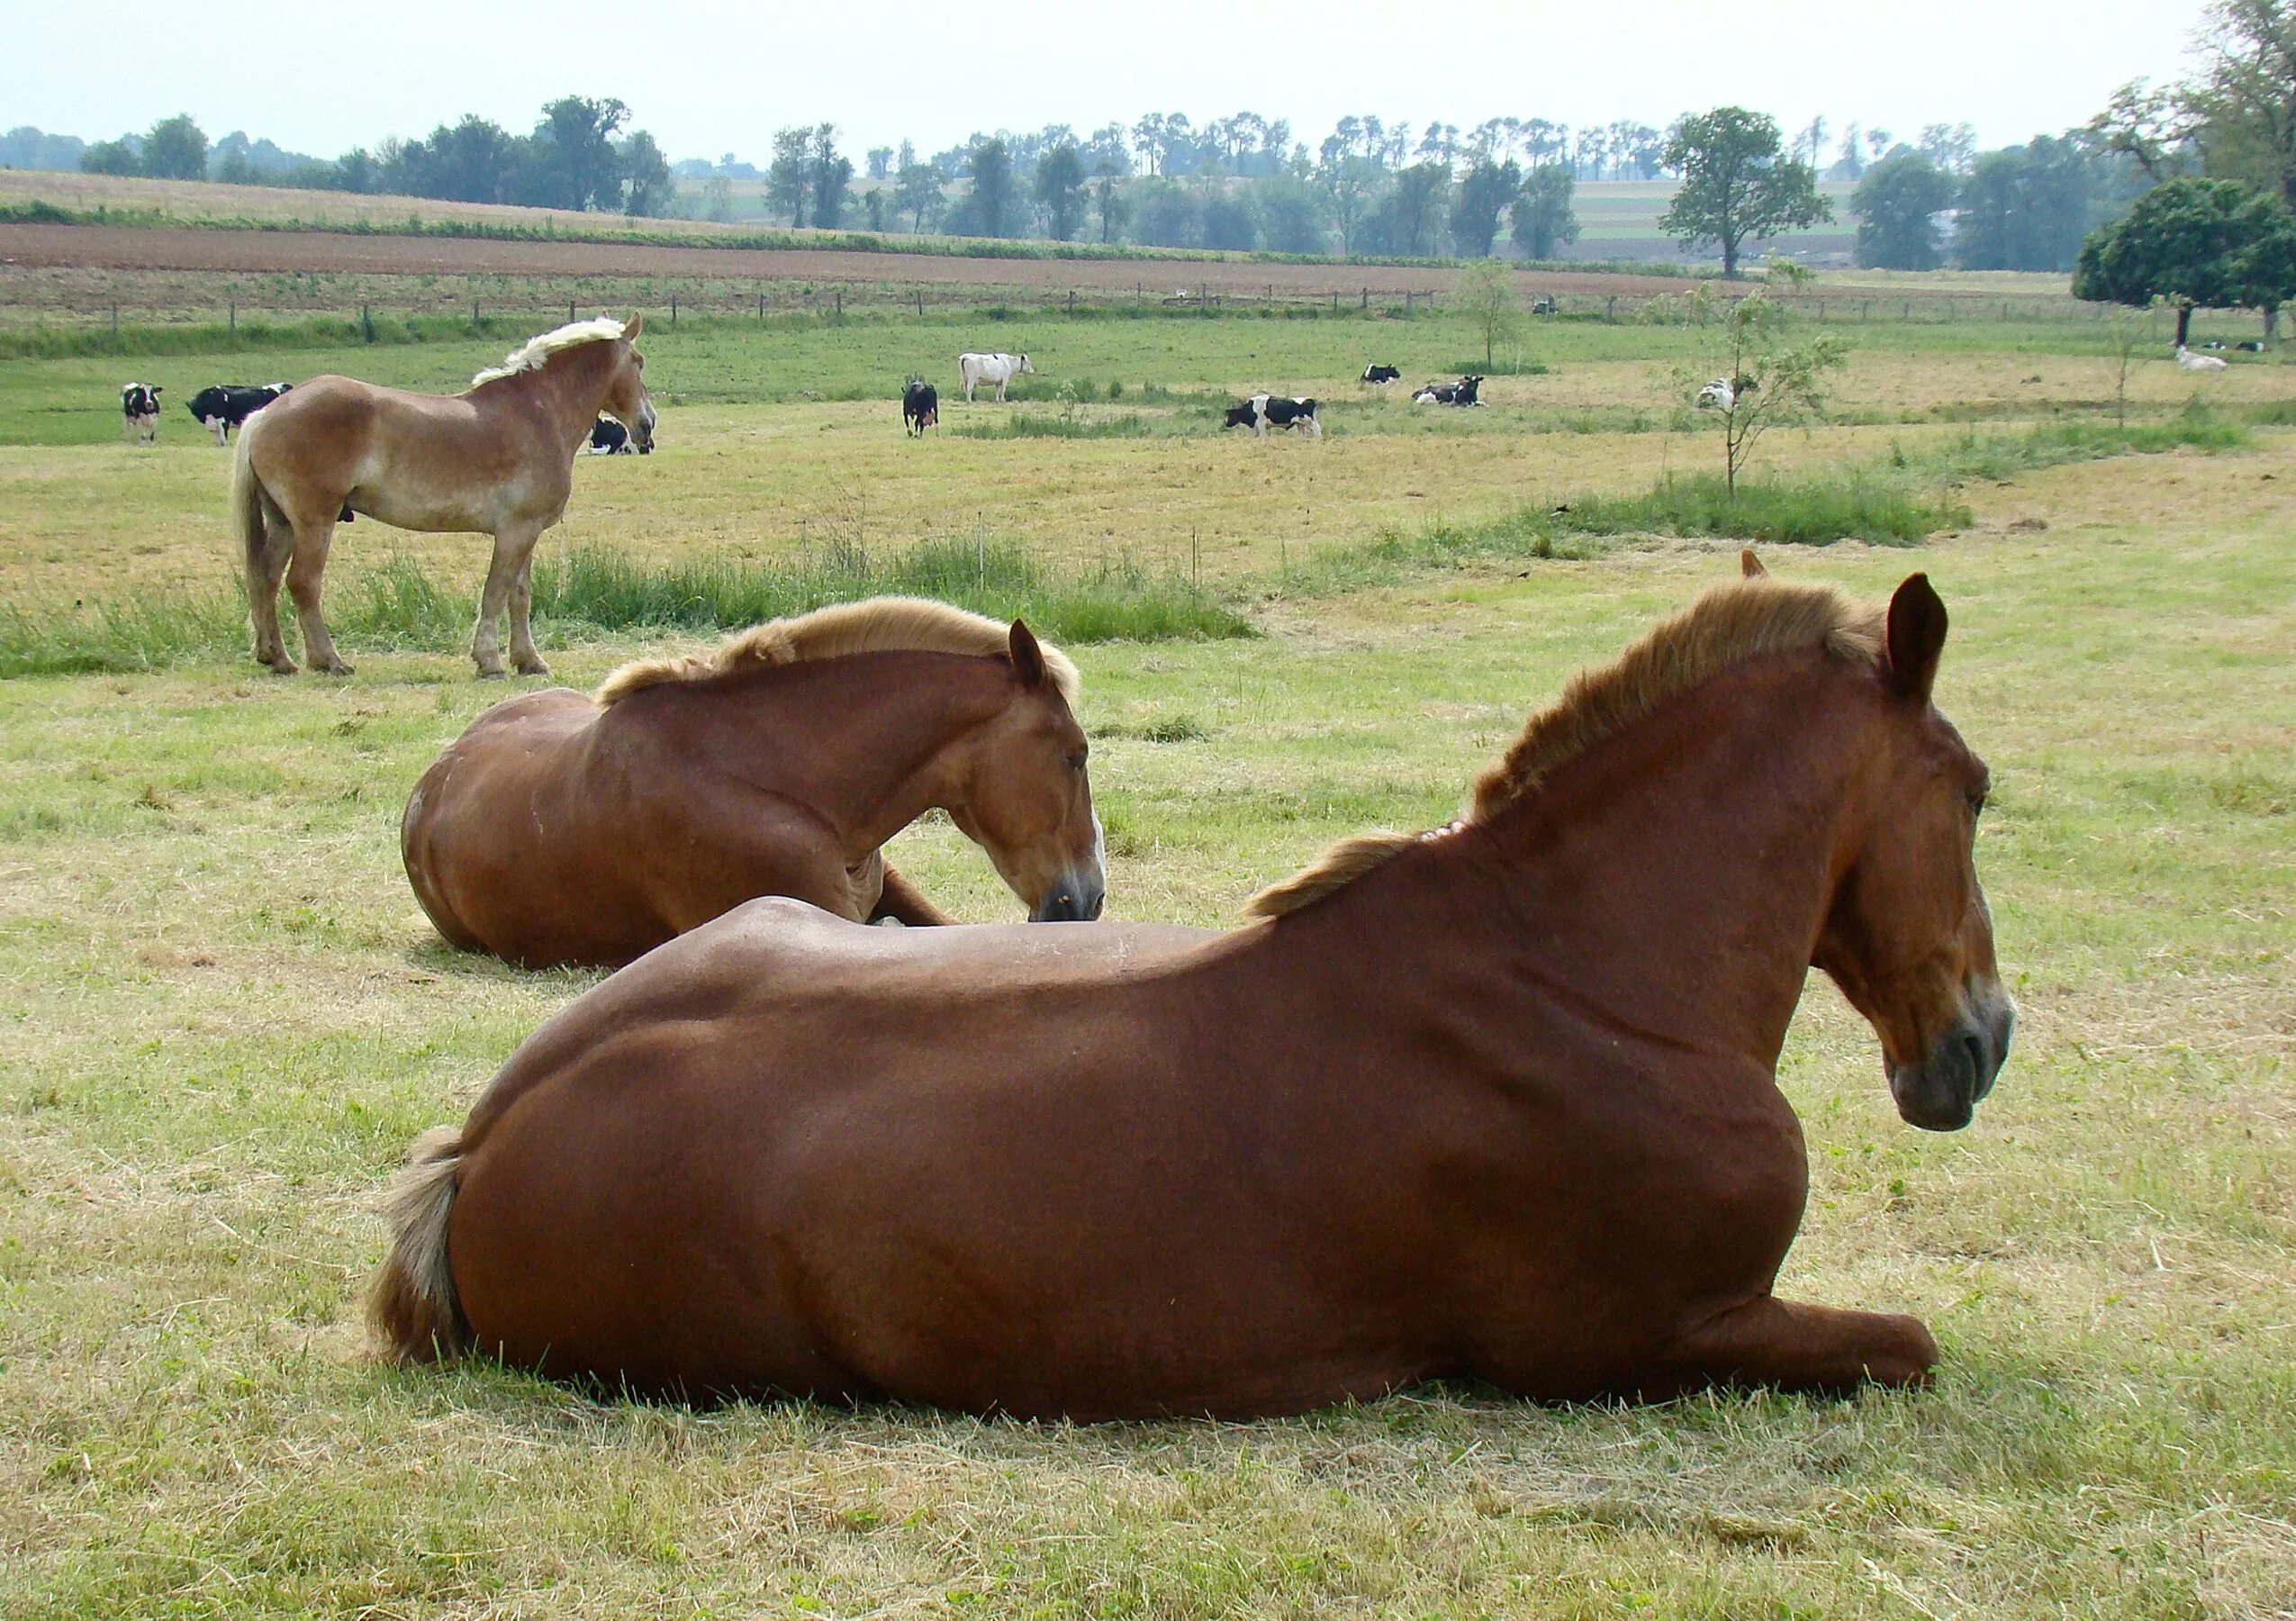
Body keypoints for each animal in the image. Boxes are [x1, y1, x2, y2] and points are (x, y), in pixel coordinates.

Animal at [231, 312, 656, 670]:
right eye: (639, 362)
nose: (648, 425)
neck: (539, 412)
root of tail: (265, 414)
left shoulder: (526, 532)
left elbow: (519, 596)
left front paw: (528, 661)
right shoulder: (514, 532)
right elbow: (495, 592)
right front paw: (489, 661)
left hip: (283, 523)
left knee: (265, 579)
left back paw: (277, 658)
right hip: (314, 522)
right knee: (303, 583)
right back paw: (328, 660)